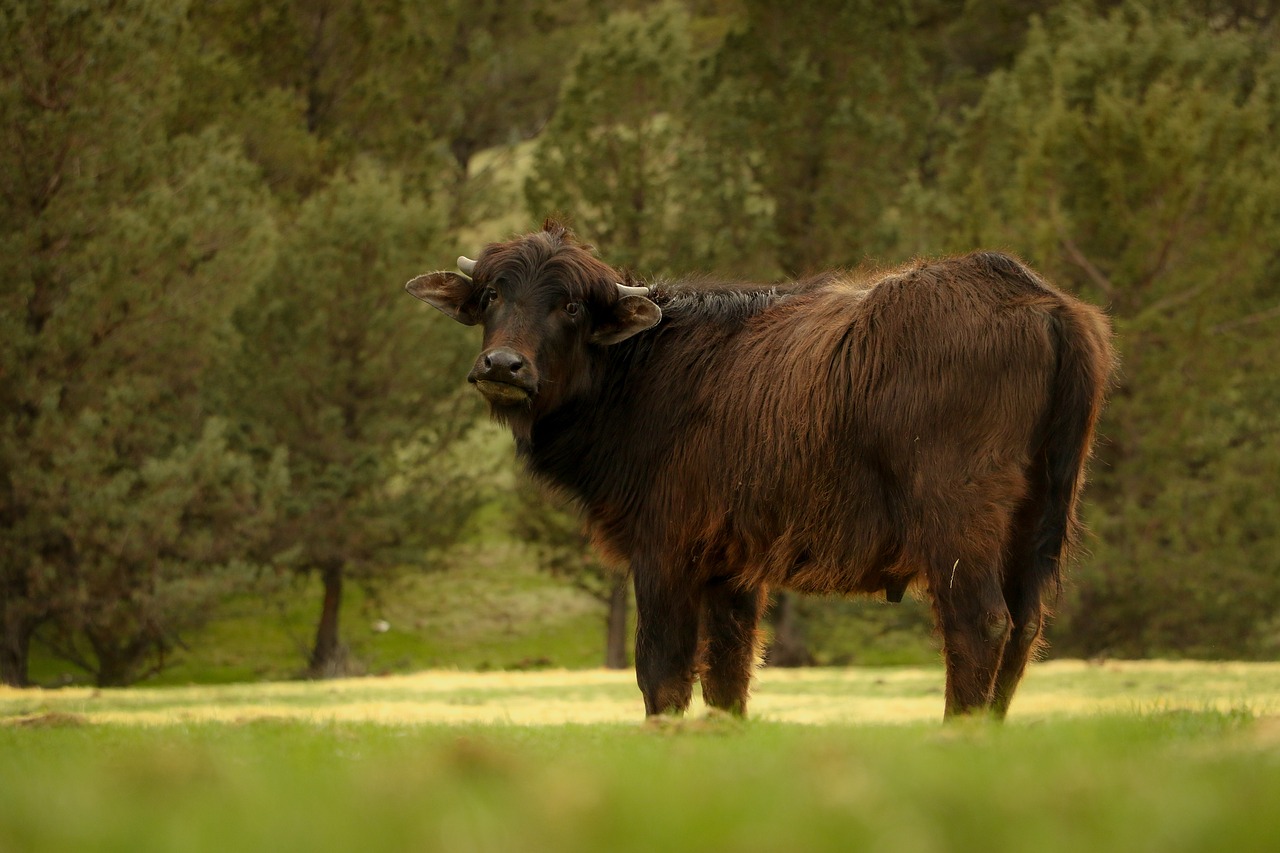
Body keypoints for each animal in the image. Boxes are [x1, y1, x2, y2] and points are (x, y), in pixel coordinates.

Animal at [407, 219, 1111, 717]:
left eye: (571, 306)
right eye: (493, 293)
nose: (503, 366)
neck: (643, 373)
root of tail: (1041, 303)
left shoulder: (665, 553)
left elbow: (661, 674)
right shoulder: (733, 570)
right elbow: (728, 677)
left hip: (959, 524)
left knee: (979, 626)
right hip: (1043, 519)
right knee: (1025, 629)